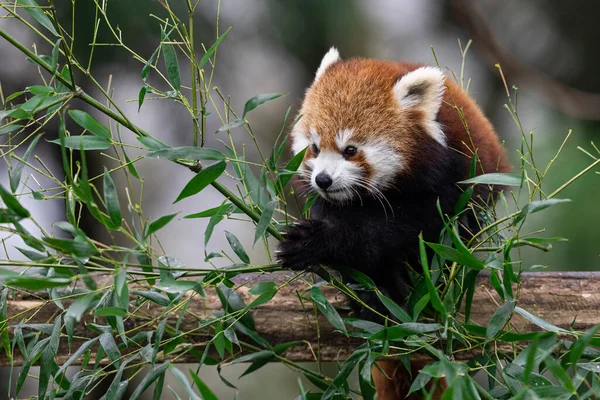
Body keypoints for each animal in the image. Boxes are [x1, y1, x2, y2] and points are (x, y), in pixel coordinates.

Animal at [278, 47, 508, 312]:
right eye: (315, 148)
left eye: (350, 150)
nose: (323, 180)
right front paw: (373, 293)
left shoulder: (448, 182)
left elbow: (399, 230)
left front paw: (315, 240)